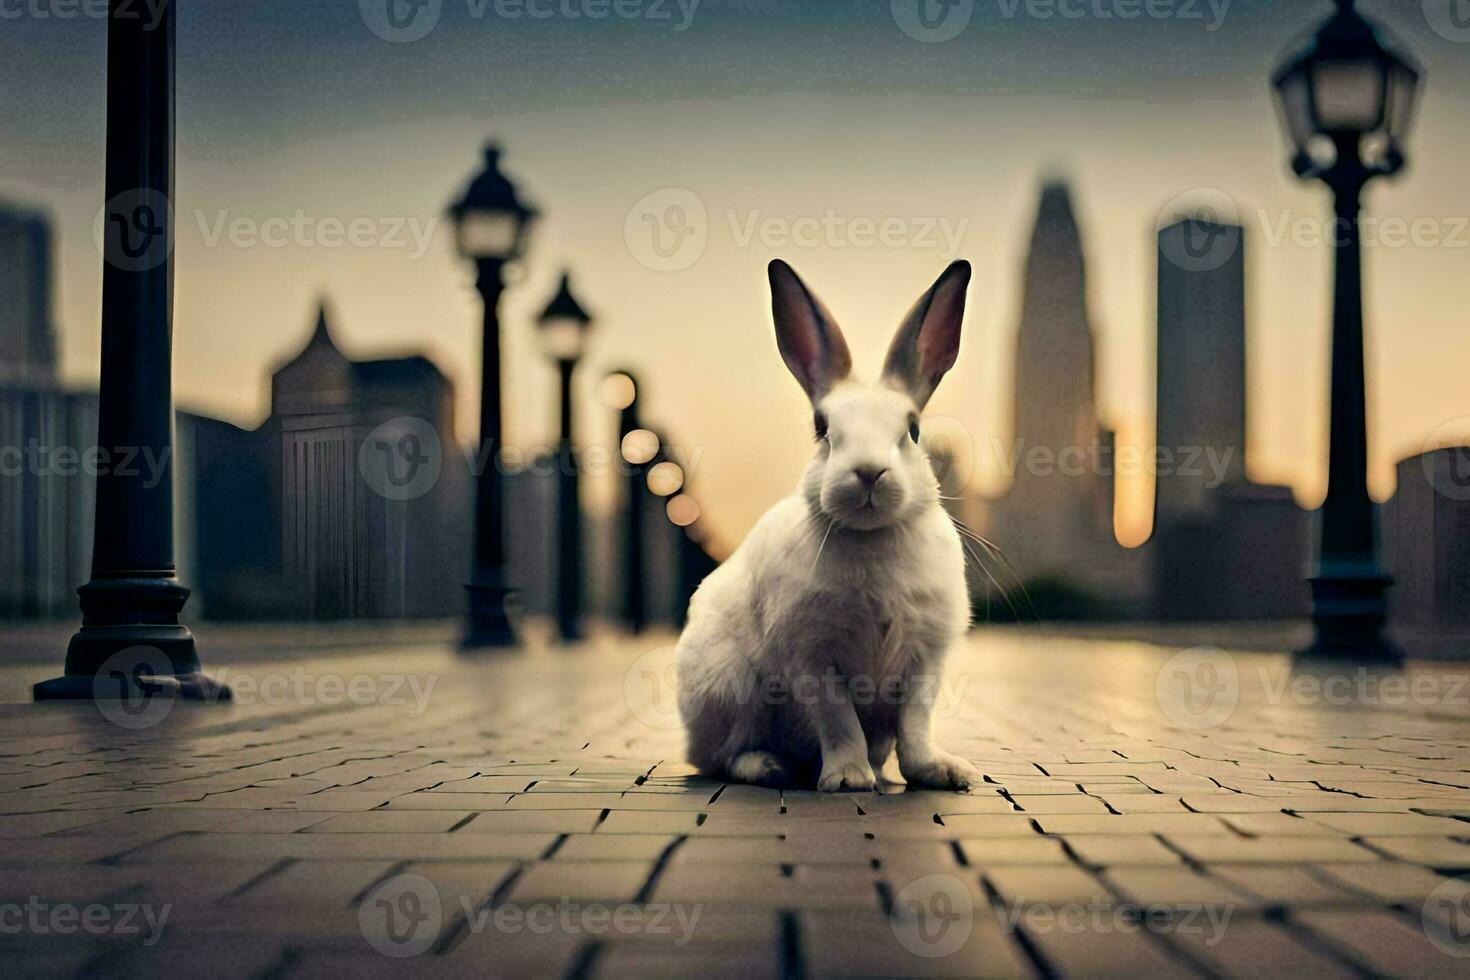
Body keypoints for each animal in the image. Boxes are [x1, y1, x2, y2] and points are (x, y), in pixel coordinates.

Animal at [673, 257, 976, 793]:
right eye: (822, 428)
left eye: (913, 429)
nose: (869, 472)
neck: (871, 537)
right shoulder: (813, 658)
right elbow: (838, 720)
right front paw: (849, 779)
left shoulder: (924, 660)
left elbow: (915, 727)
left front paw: (940, 772)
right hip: (730, 689)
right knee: (724, 756)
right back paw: (770, 767)